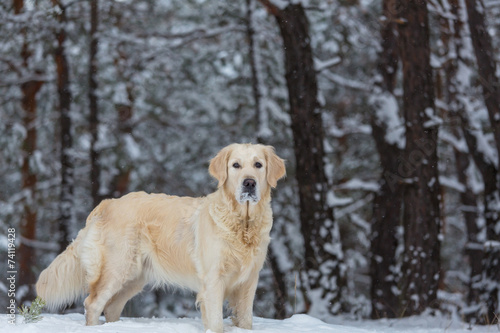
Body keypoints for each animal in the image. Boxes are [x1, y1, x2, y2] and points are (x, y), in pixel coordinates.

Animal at [35, 143, 286, 332]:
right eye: (236, 165)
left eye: (258, 165)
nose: (249, 183)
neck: (242, 223)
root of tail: (107, 203)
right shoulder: (213, 281)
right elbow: (215, 322)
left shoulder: (248, 281)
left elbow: (245, 320)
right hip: (117, 268)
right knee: (93, 303)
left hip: (134, 277)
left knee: (112, 306)